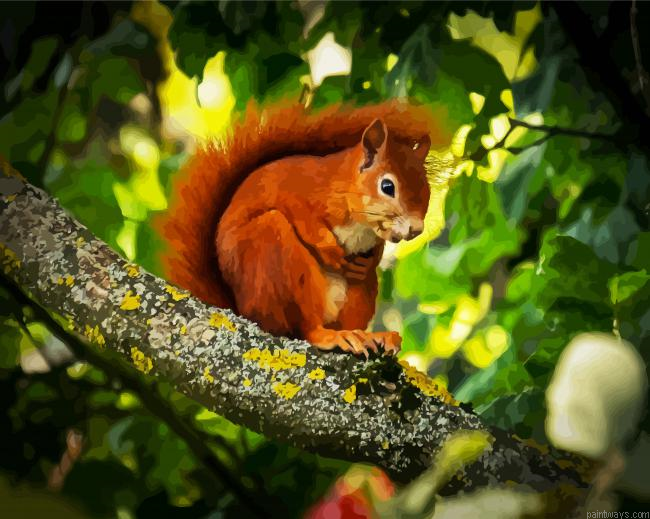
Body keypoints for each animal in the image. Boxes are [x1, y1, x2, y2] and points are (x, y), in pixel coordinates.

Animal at [158, 100, 444, 357]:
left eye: (427, 191)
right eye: (387, 187)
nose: (416, 229)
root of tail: (242, 310)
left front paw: (368, 261)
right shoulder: (295, 190)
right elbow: (306, 221)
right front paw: (330, 250)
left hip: (358, 295)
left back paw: (369, 335)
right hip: (272, 251)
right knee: (303, 328)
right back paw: (330, 336)